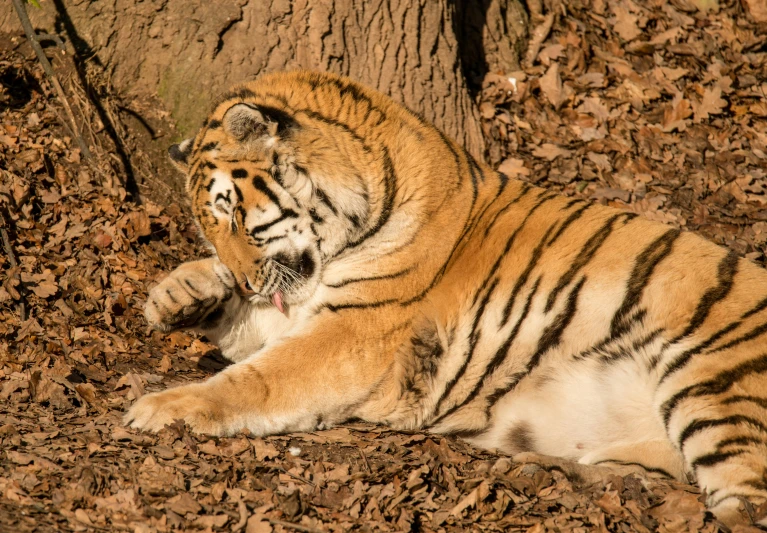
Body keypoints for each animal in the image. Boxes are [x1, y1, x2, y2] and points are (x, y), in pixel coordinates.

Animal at [126, 68, 767, 524]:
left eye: (233, 214)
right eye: (209, 227)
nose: (246, 280)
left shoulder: (355, 329)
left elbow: (257, 378)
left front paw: (159, 409)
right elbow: (247, 325)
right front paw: (178, 293)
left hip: (714, 382)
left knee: (746, 505)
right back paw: (551, 471)